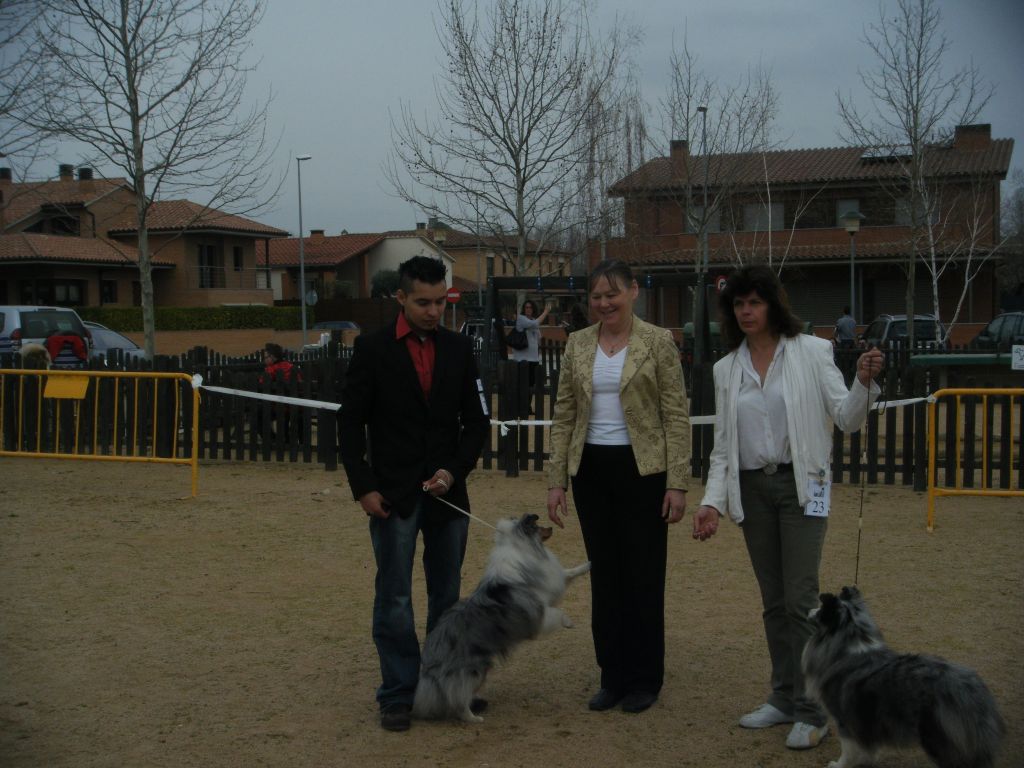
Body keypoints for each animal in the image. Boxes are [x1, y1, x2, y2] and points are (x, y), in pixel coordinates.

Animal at [409, 514, 589, 724]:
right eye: (537, 526)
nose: (552, 527)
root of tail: (430, 655)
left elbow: (569, 572)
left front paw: (588, 565)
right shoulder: (538, 612)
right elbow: (557, 612)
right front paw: (569, 623)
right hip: (473, 671)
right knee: (459, 697)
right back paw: (473, 718)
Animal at [802, 585, 1003, 765]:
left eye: (820, 611)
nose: (809, 610)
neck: (852, 641)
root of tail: (971, 693)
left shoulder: (844, 719)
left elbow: (848, 751)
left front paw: (838, 764)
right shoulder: (868, 720)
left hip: (938, 740)